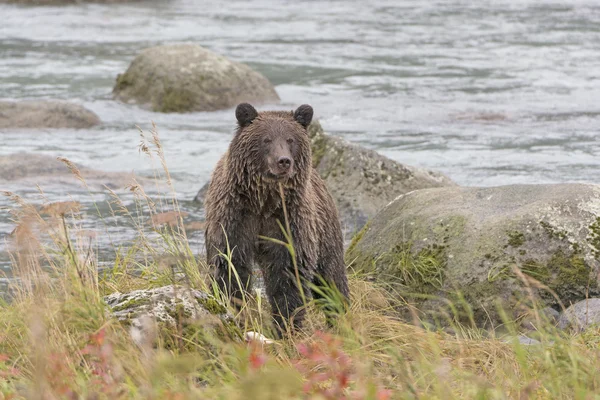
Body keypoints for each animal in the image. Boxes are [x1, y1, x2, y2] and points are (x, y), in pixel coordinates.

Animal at [204, 102, 350, 334]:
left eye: (290, 139)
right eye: (266, 139)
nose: (283, 161)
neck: (264, 200)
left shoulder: (288, 221)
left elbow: (287, 274)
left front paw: (286, 325)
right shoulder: (235, 216)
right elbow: (230, 265)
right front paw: (234, 307)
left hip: (325, 230)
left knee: (331, 278)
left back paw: (340, 318)